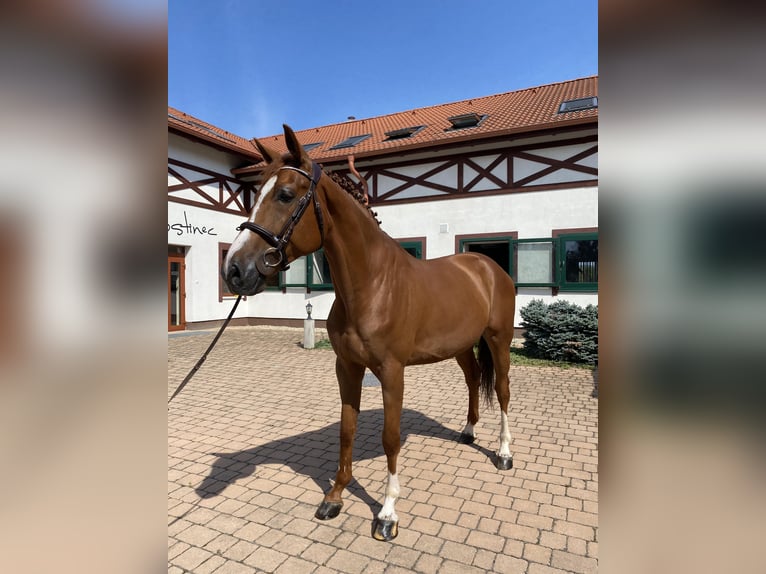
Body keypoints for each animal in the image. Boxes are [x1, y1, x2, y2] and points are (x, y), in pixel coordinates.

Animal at [225, 124, 520, 544]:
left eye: (285, 195)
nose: (234, 270)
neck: (371, 284)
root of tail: (488, 266)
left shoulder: (392, 372)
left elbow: (390, 437)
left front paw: (387, 513)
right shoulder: (347, 367)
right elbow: (347, 430)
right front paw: (334, 497)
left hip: (499, 340)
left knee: (503, 390)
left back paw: (505, 454)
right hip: (462, 346)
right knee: (472, 379)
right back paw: (467, 432)